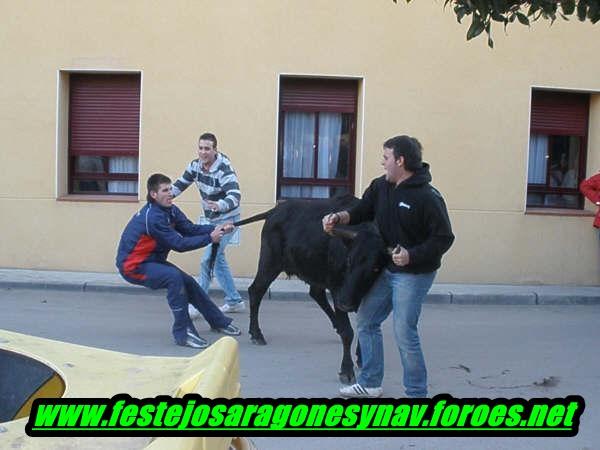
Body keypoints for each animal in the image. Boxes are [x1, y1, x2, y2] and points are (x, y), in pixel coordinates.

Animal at [230, 195, 390, 384]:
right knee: (256, 291)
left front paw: (362, 356)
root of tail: (276, 211)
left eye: (375, 268)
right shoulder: (337, 289)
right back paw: (256, 334)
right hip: (270, 262)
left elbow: (364, 324)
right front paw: (346, 369)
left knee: (316, 293)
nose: (346, 304)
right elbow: (348, 332)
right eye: (349, 260)